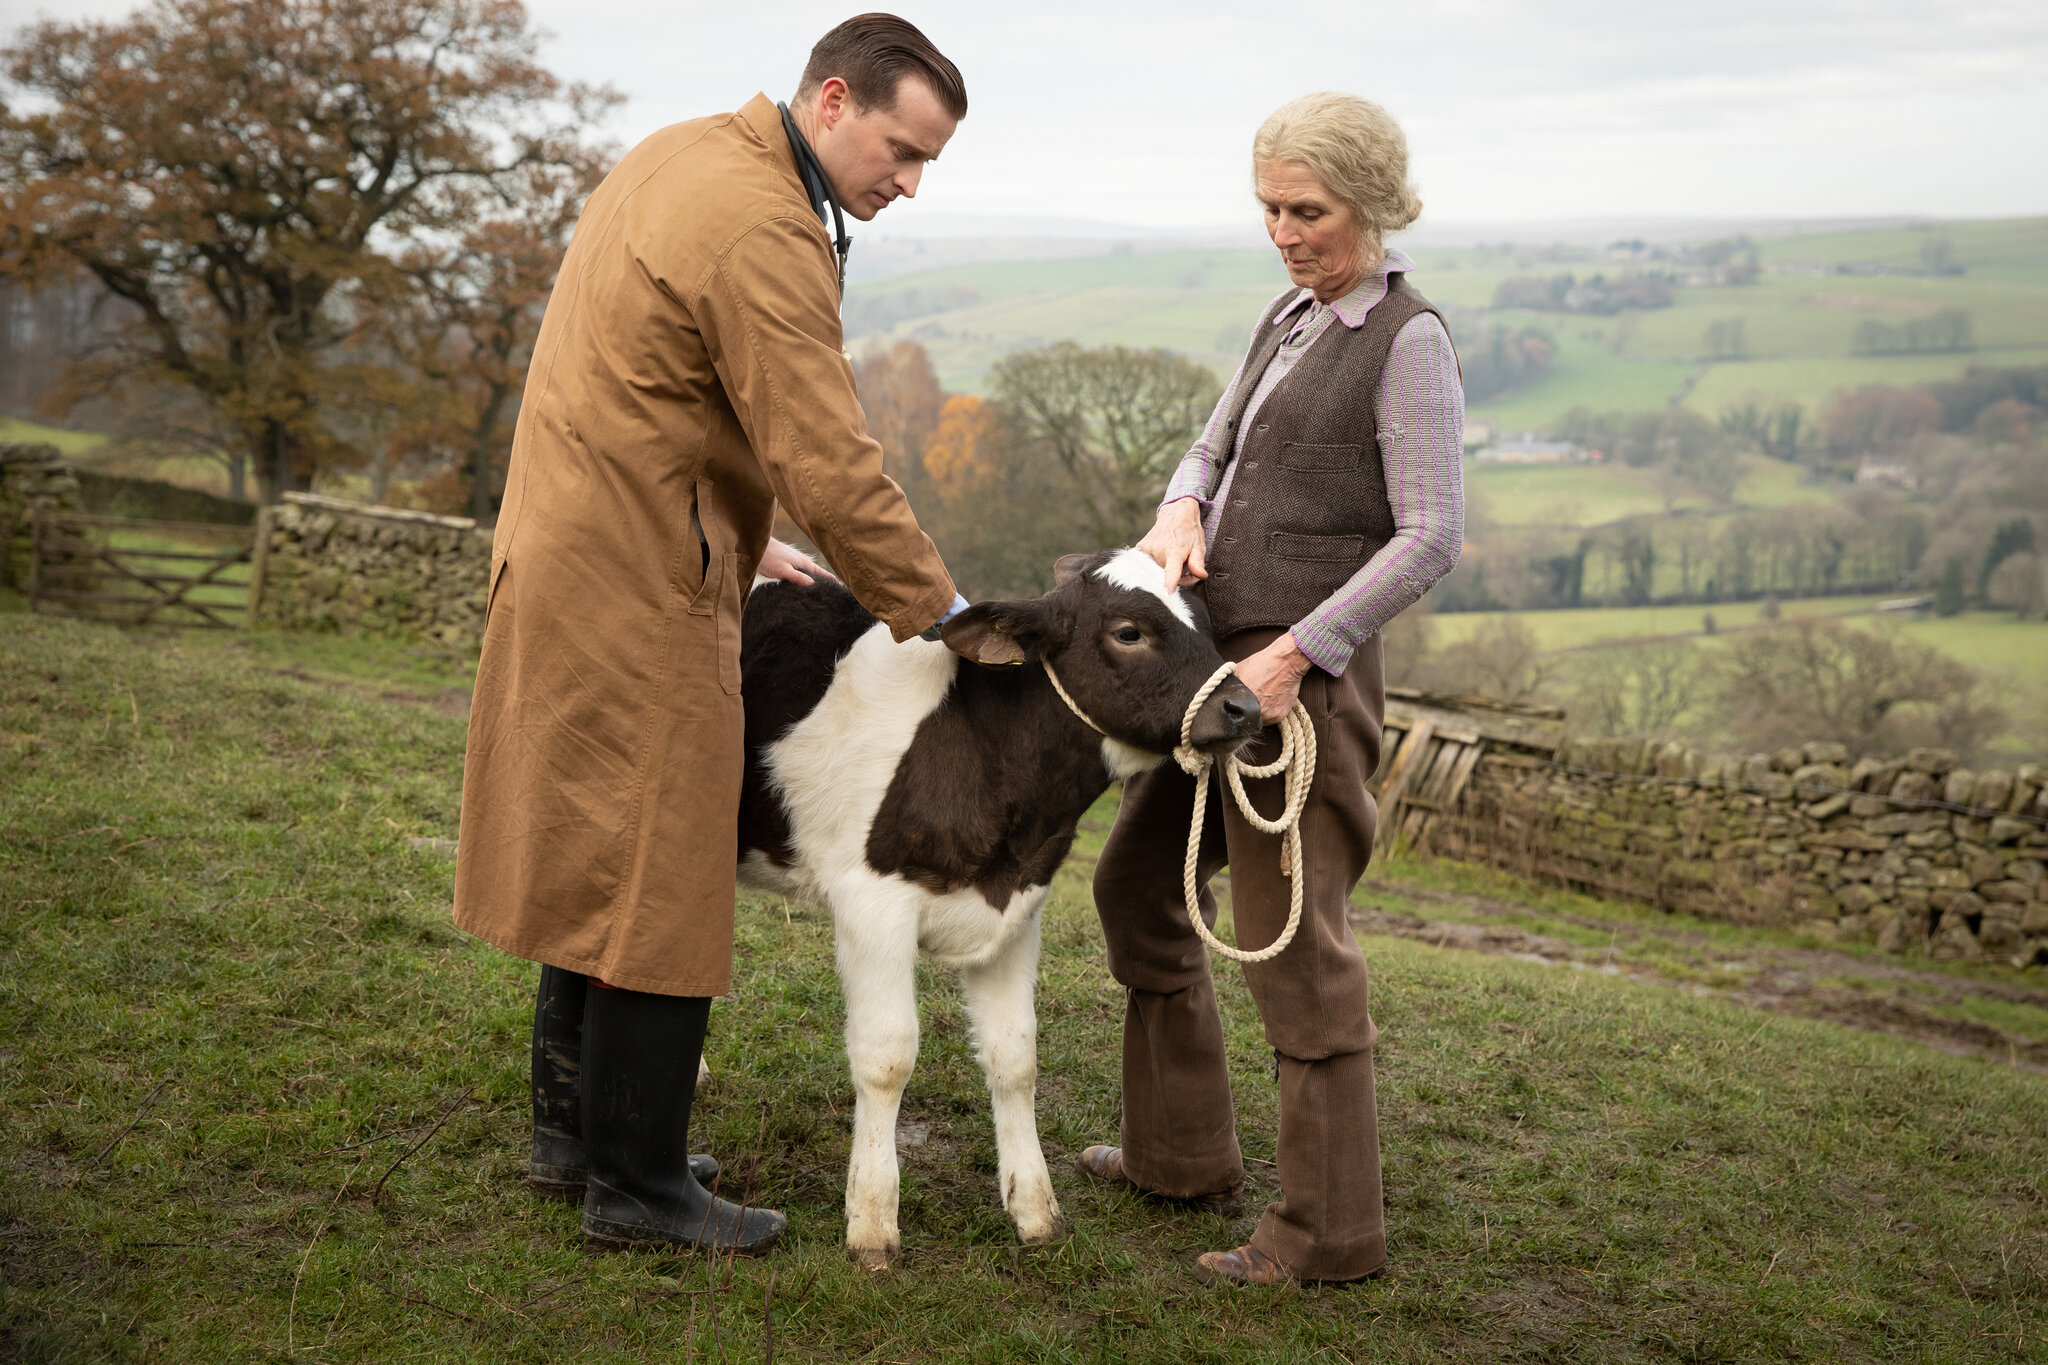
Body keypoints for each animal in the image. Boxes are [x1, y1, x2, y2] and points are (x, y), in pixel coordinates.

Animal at [729, 548, 1253, 1268]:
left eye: (1207, 623)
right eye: (1128, 632)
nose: (1247, 707)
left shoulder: (1018, 913)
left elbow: (1016, 1057)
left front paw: (1034, 1209)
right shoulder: (873, 904)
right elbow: (886, 1058)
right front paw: (872, 1223)